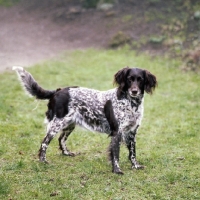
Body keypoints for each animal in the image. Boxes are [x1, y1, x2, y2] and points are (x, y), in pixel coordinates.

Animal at [12, 65, 157, 173]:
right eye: (129, 79)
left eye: (140, 79)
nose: (134, 91)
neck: (131, 103)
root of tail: (58, 91)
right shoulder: (117, 132)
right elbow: (116, 154)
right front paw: (117, 170)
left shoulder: (131, 132)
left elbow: (133, 153)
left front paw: (135, 166)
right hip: (57, 124)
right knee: (44, 142)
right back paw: (43, 161)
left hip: (69, 124)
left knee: (61, 139)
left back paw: (66, 153)